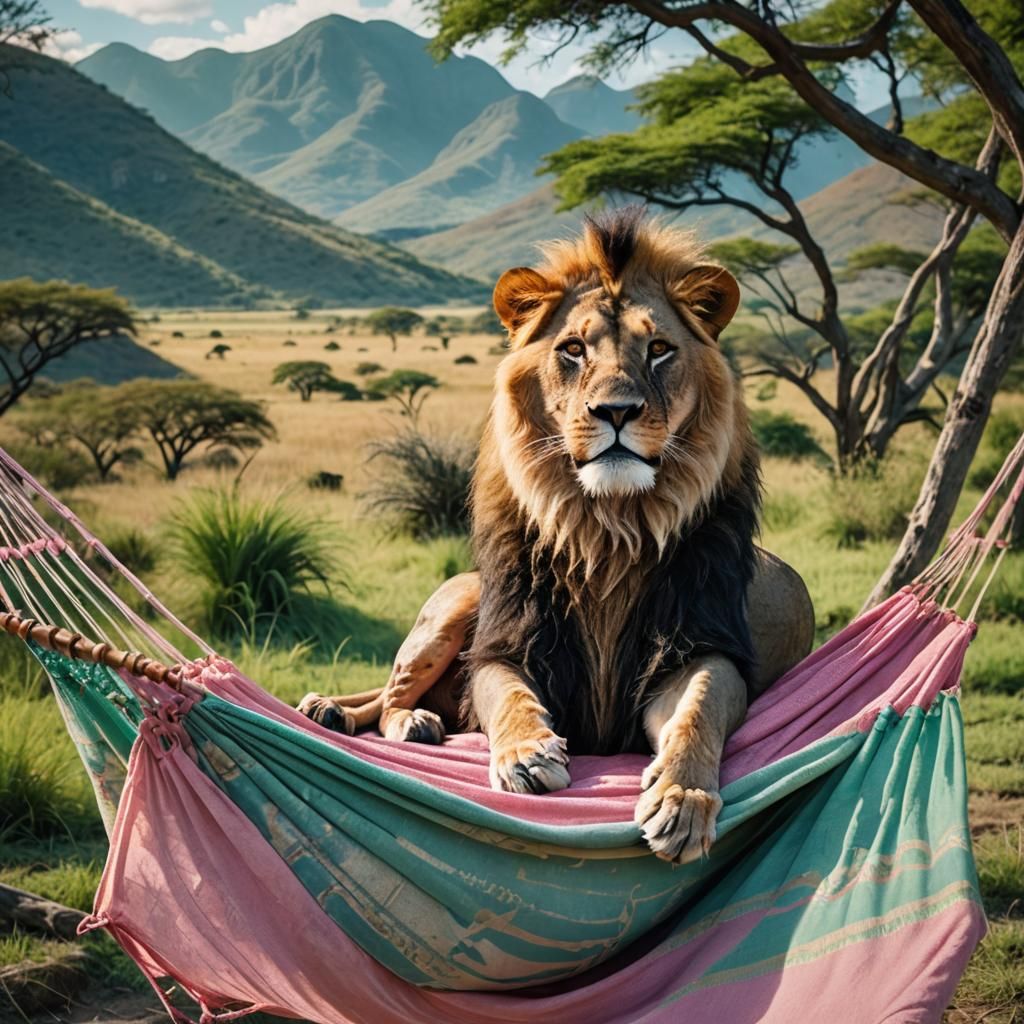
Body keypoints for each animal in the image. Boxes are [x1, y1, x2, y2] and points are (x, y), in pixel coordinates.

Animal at [299, 207, 815, 863]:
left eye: (659, 349)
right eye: (573, 349)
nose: (616, 411)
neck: (608, 530)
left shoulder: (697, 648)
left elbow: (698, 708)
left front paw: (682, 798)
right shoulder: (506, 644)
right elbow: (509, 697)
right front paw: (524, 754)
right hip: (456, 606)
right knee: (388, 698)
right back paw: (395, 720)